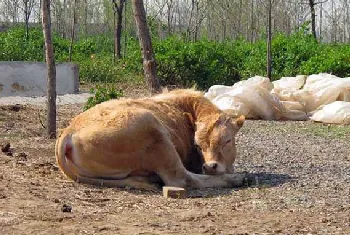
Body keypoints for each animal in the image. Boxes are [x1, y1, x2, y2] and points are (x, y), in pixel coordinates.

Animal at [55, 89, 249, 190]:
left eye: (227, 141)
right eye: (198, 145)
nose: (210, 167)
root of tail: (69, 130)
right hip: (155, 133)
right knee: (181, 179)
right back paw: (236, 179)